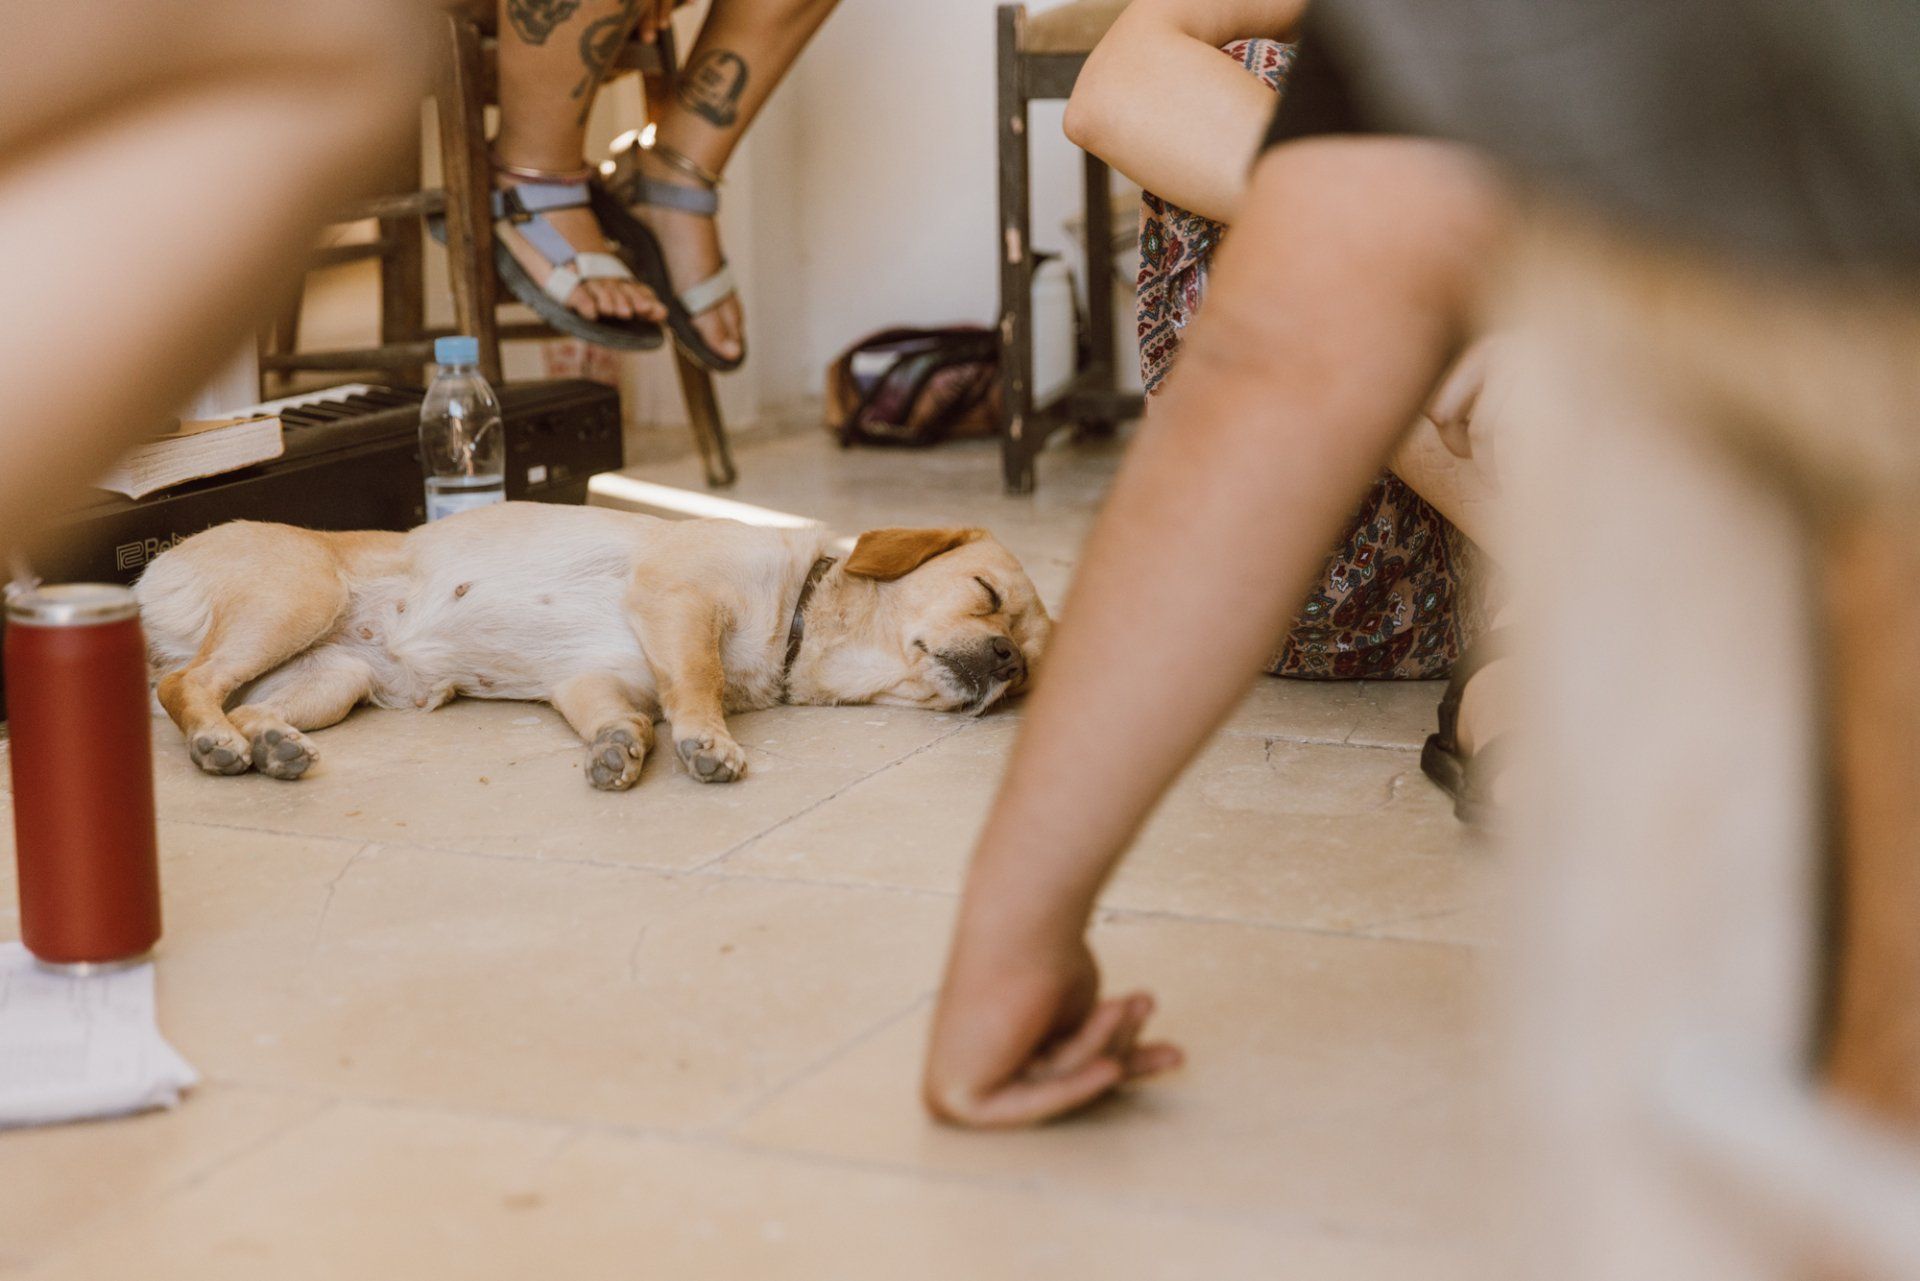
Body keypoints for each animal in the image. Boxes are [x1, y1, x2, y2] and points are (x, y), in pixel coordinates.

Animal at [135, 503, 1051, 789]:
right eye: (988, 595)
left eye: (1032, 666)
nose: (1011, 663)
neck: (796, 614)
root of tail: (150, 574)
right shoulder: (677, 600)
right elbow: (697, 681)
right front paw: (707, 740)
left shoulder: (591, 680)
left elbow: (626, 715)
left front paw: (621, 745)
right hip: (299, 596)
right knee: (183, 687)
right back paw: (217, 742)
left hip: (333, 677)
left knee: (245, 704)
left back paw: (270, 745)